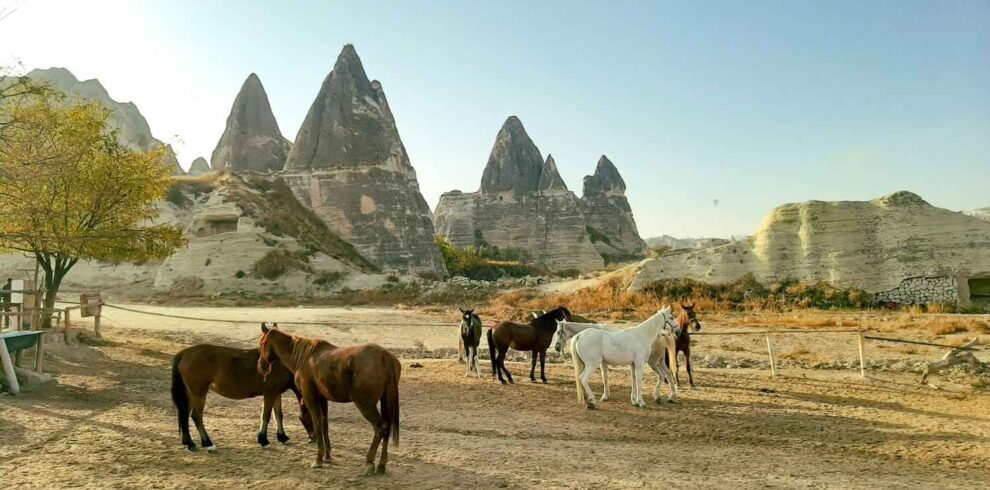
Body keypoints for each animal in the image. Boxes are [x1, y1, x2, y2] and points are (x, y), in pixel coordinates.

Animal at [169, 336, 312, 452]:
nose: (313, 438)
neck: (280, 364)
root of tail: (184, 353)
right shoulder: (270, 393)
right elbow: (265, 416)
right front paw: (264, 440)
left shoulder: (277, 393)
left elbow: (278, 415)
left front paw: (282, 437)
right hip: (199, 393)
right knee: (196, 416)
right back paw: (208, 443)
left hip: (190, 393)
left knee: (184, 414)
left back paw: (189, 443)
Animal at [258, 326, 402, 474]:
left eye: (261, 343)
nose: (261, 367)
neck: (305, 358)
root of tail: (384, 356)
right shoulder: (322, 399)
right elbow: (324, 424)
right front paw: (327, 456)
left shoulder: (311, 398)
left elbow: (317, 425)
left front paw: (318, 460)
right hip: (385, 401)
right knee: (387, 427)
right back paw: (381, 465)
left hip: (365, 405)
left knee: (380, 427)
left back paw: (369, 462)